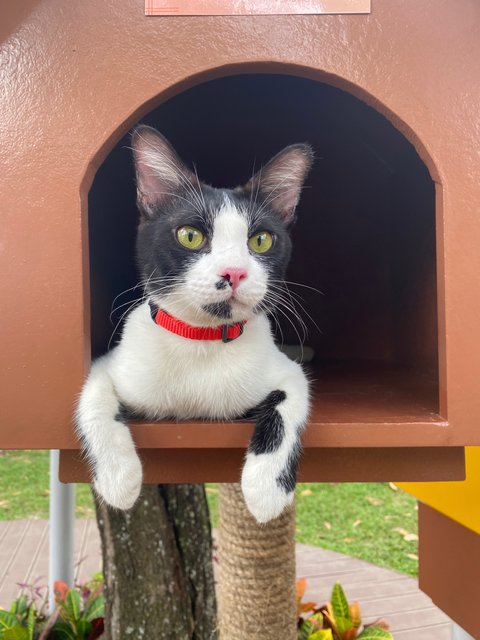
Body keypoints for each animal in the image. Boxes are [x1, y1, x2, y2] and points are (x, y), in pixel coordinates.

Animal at [76, 126, 312, 524]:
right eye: (190, 235)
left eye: (261, 240)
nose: (234, 272)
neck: (201, 341)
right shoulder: (109, 363)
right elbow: (92, 398)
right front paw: (119, 478)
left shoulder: (286, 372)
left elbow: (288, 403)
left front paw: (266, 489)